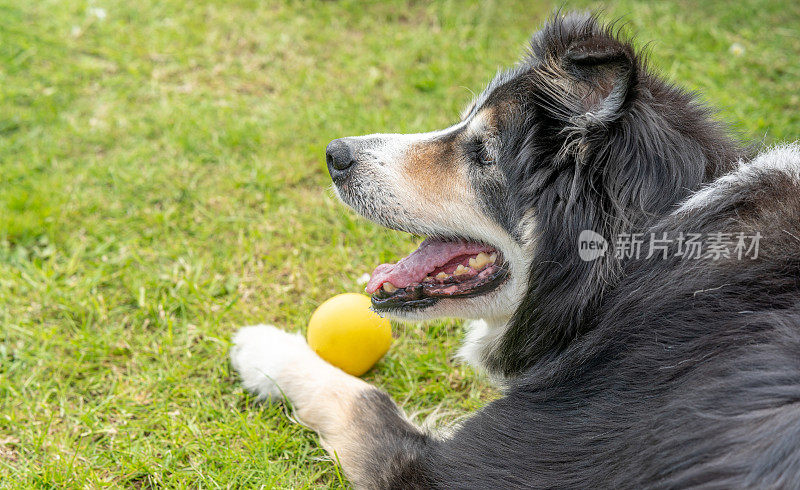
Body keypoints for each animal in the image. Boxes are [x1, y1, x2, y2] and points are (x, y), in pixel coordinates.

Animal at [231, 13, 800, 488]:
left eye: (481, 152)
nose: (335, 154)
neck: (635, 260)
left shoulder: (455, 471)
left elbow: (363, 400)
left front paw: (263, 349)